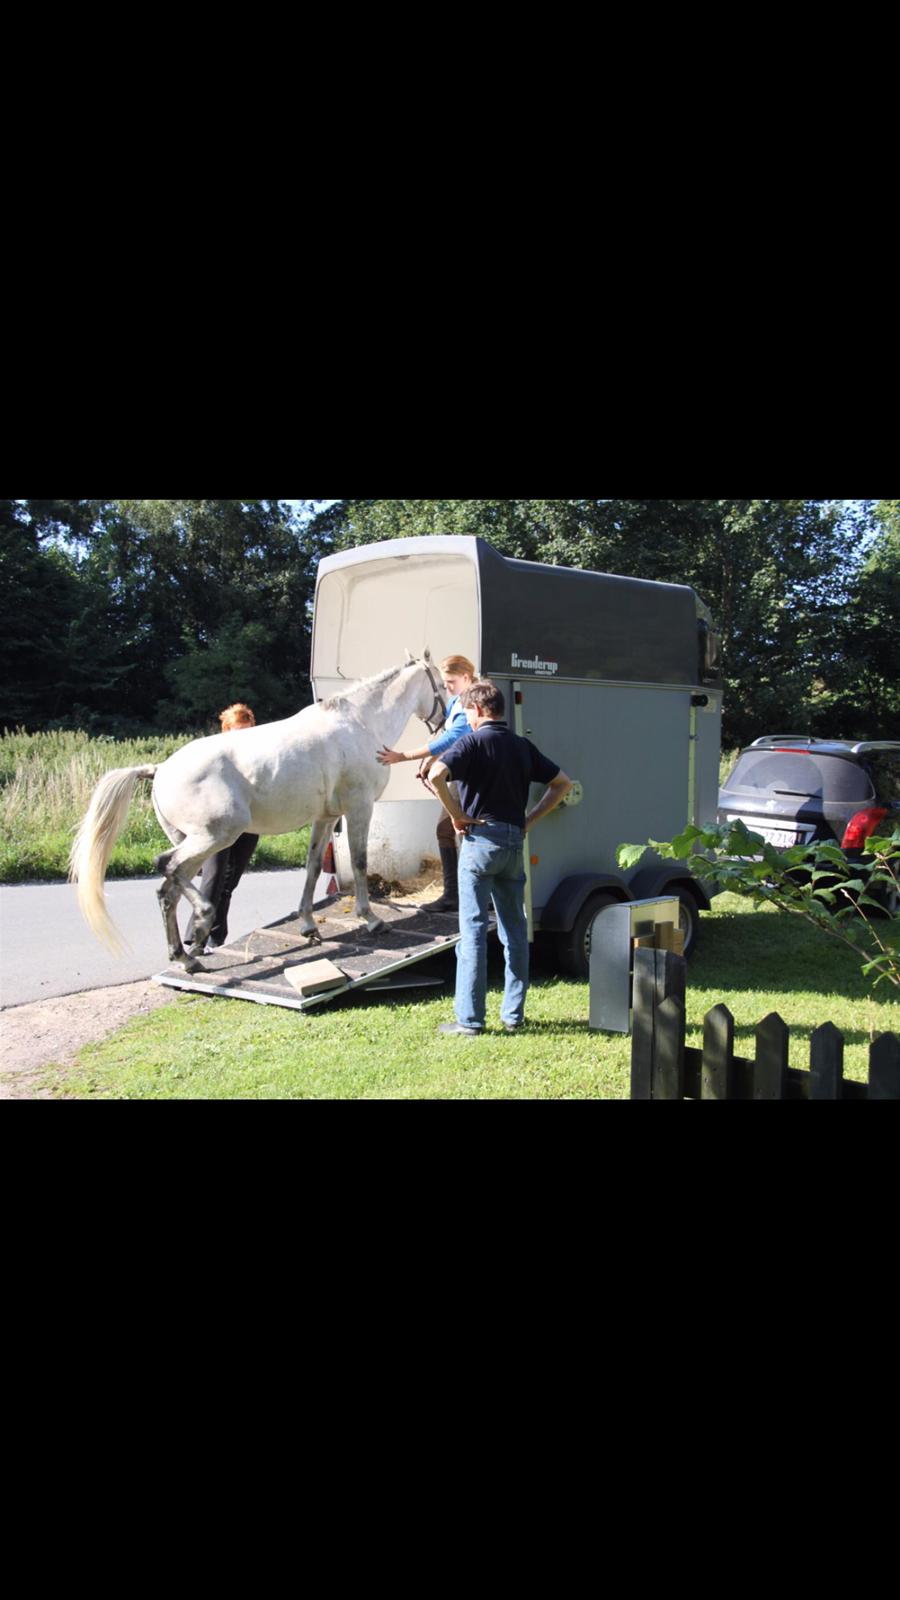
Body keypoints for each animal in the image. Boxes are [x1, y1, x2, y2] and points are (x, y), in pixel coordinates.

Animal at [68, 652, 445, 972]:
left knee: (169, 889)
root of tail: (158, 770)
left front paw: (309, 926)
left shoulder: (324, 817)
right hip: (215, 836)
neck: (361, 725)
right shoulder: (359, 808)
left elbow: (311, 867)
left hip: (193, 839)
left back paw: (187, 956)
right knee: (167, 867)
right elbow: (360, 862)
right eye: (441, 685)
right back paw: (201, 924)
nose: (444, 719)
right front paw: (371, 919)